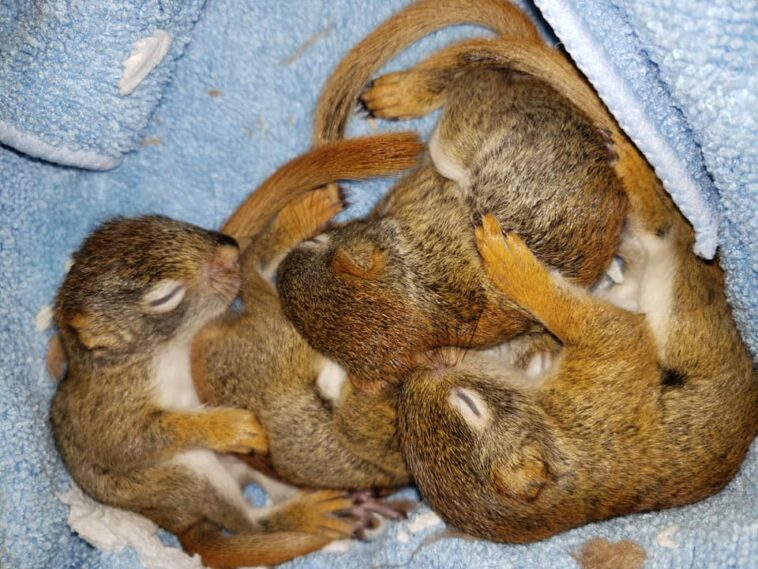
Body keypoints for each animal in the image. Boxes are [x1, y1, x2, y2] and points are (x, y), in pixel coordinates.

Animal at [49, 215, 400, 568]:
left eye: (160, 220)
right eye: (165, 297)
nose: (231, 250)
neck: (168, 350)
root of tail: (181, 525)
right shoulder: (106, 408)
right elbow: (128, 443)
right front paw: (230, 427)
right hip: (182, 477)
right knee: (247, 524)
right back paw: (307, 513)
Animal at [275, 0, 628, 391]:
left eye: (318, 243)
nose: (280, 268)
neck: (421, 300)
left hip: (460, 133)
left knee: (468, 76)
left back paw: (401, 95)